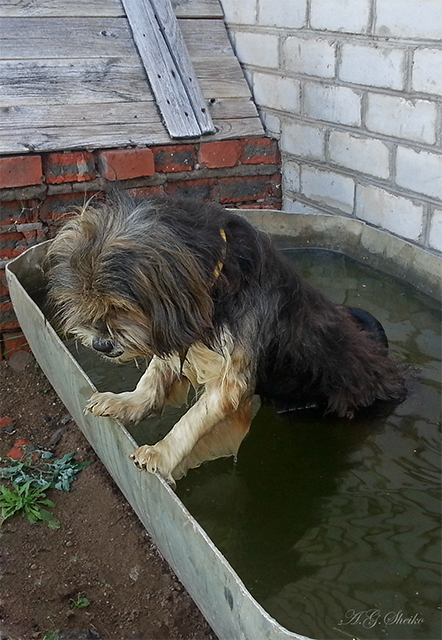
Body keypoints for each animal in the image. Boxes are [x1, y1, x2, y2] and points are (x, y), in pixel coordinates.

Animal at [46, 192, 406, 482]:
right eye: (83, 301)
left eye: (119, 306)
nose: (101, 345)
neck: (215, 283)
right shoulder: (178, 331)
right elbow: (153, 378)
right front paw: (124, 402)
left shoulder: (231, 373)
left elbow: (194, 419)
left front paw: (162, 453)